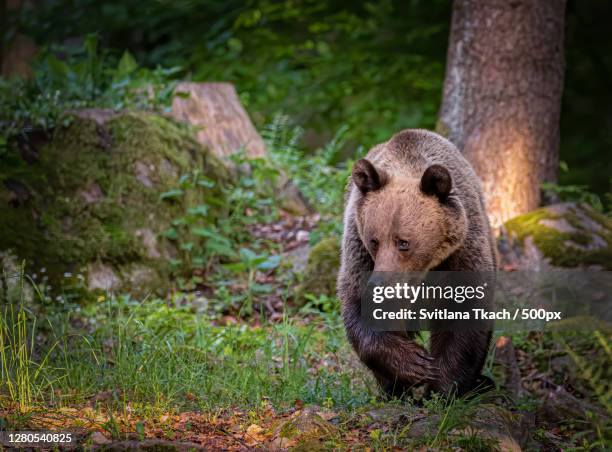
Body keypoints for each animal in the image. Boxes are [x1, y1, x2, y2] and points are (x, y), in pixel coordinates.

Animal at [340, 127, 498, 396]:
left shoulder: (461, 253)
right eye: (374, 240)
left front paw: (440, 387)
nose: (380, 285)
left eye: (403, 242)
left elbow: (464, 314)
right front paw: (413, 364)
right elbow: (359, 305)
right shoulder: (359, 251)